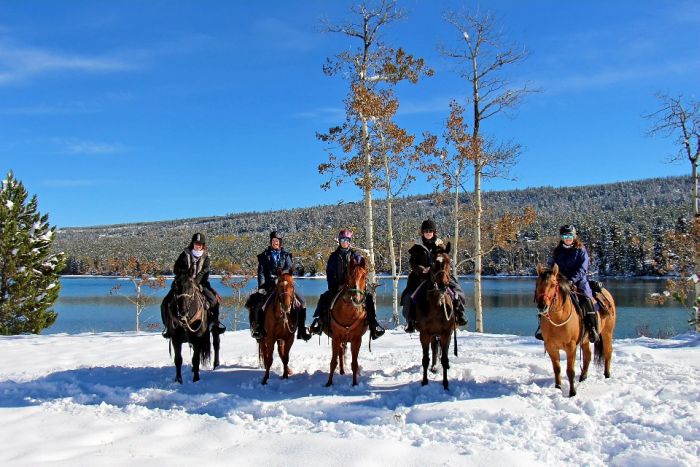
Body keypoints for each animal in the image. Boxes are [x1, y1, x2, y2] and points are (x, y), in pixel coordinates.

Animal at [324, 256, 370, 388]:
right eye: (349, 275)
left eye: (364, 276)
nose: (356, 299)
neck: (347, 313)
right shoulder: (335, 338)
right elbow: (333, 362)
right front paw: (329, 383)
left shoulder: (356, 340)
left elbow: (354, 363)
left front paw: (354, 384)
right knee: (340, 354)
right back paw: (341, 371)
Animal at [412, 243, 456, 390]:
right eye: (432, 263)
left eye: (449, 261)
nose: (443, 285)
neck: (436, 305)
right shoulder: (424, 334)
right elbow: (425, 359)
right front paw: (424, 381)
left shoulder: (446, 333)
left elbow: (444, 358)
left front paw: (446, 384)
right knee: (434, 348)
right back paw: (433, 367)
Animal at [540, 266, 616, 396]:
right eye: (537, 283)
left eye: (553, 284)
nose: (542, 306)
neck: (558, 318)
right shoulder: (550, 346)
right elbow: (557, 369)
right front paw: (558, 388)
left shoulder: (571, 347)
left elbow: (570, 370)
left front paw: (572, 392)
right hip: (585, 340)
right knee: (588, 355)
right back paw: (583, 376)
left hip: (607, 333)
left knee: (608, 352)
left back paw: (607, 375)